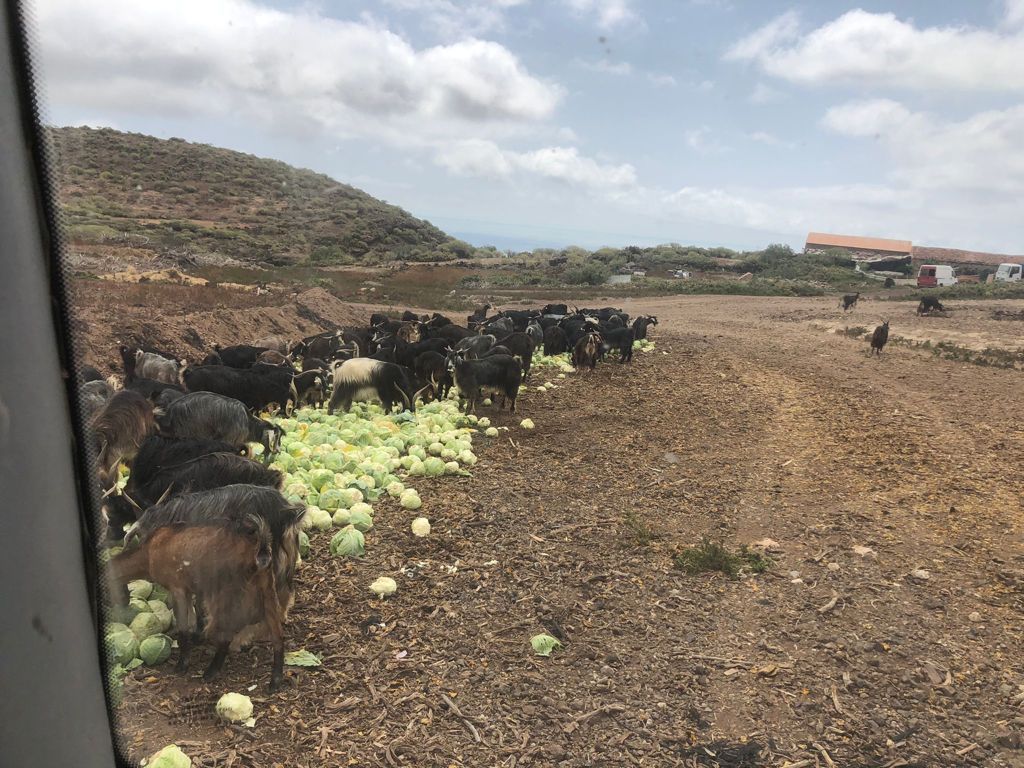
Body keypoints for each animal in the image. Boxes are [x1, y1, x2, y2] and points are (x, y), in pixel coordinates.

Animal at [110, 520, 286, 696]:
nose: (124, 602)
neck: (148, 553)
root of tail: (259, 550)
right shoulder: (189, 590)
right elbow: (191, 618)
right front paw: (195, 639)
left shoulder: (177, 588)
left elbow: (183, 627)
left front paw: (182, 666)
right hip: (267, 587)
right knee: (278, 636)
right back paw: (274, 683)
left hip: (225, 593)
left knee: (226, 634)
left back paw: (210, 673)